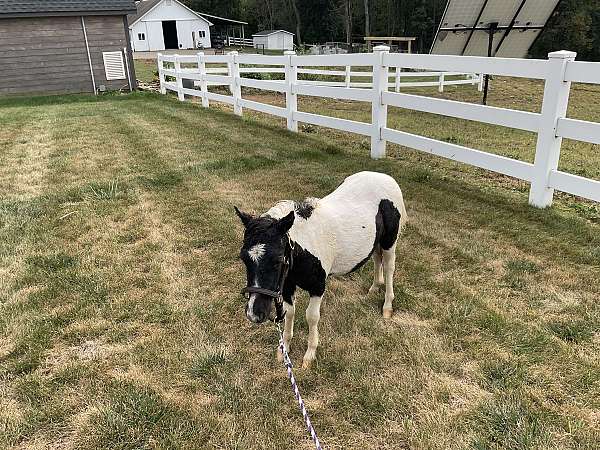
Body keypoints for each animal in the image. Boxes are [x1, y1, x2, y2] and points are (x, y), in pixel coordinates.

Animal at [234, 171, 408, 368]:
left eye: (277, 260)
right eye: (243, 258)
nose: (254, 314)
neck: (305, 248)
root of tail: (385, 177)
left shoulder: (318, 287)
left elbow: (311, 317)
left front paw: (309, 356)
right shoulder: (287, 285)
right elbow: (289, 313)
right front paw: (283, 350)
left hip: (389, 241)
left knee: (389, 267)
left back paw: (387, 306)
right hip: (376, 240)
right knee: (377, 259)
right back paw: (374, 288)